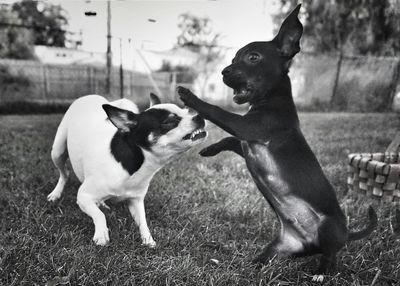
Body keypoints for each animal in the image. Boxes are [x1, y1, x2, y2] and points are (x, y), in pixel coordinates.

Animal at [177, 3, 376, 274]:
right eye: (233, 59)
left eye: (253, 57)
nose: (224, 71)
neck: (271, 99)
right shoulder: (247, 140)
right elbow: (229, 141)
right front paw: (209, 150)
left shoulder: (248, 127)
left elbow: (217, 111)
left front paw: (190, 96)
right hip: (280, 247)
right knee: (273, 257)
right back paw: (252, 265)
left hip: (328, 230)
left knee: (331, 255)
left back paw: (321, 273)